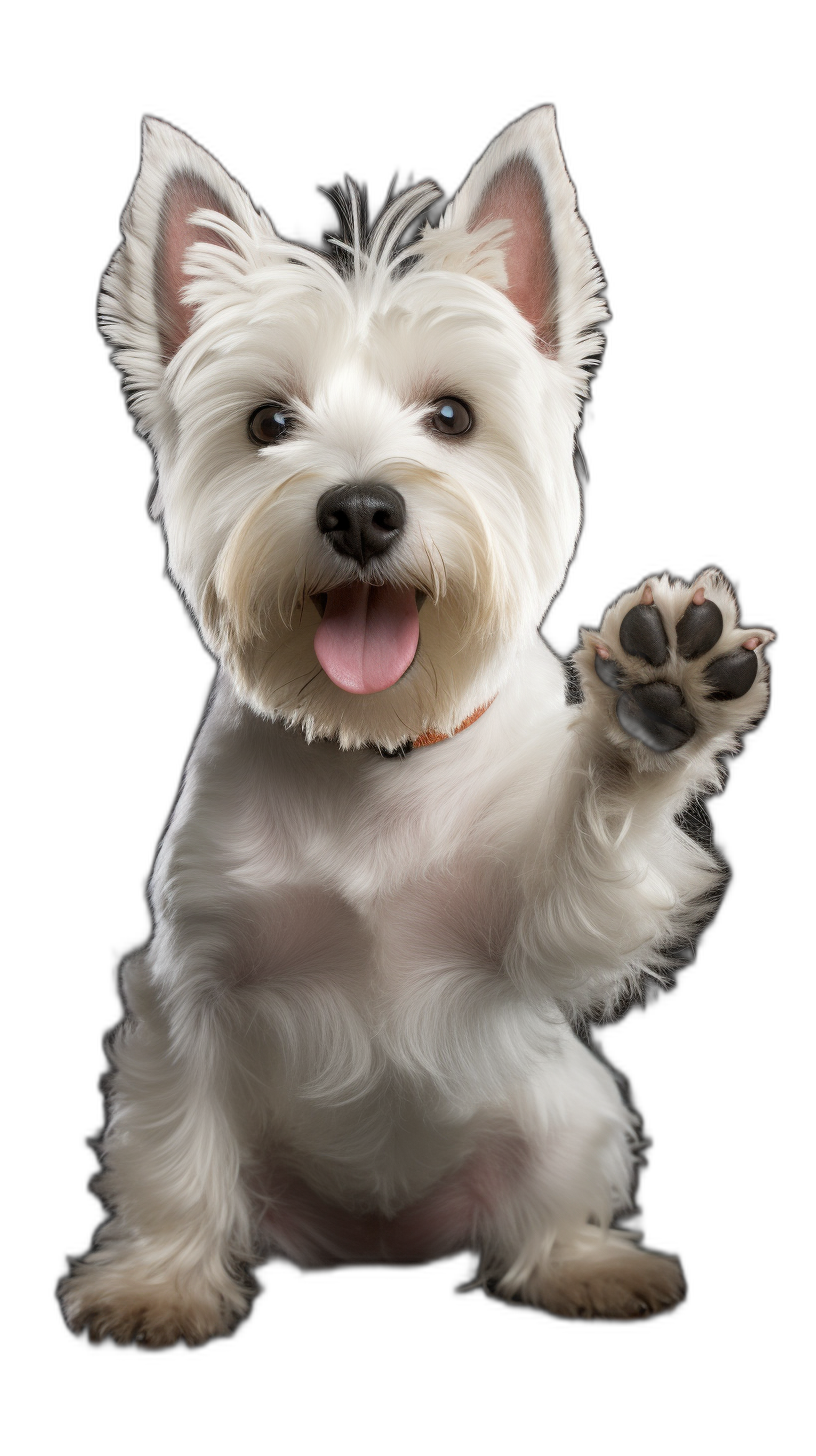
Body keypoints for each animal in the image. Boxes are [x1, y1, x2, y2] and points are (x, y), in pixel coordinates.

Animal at [60, 107, 775, 1345]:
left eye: (451, 415)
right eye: (268, 421)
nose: (359, 508)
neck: (377, 745)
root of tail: (378, 1242)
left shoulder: (532, 936)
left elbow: (589, 858)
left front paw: (656, 703)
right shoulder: (194, 986)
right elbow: (177, 1143)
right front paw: (159, 1283)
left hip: (565, 1099)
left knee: (553, 1193)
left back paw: (587, 1266)